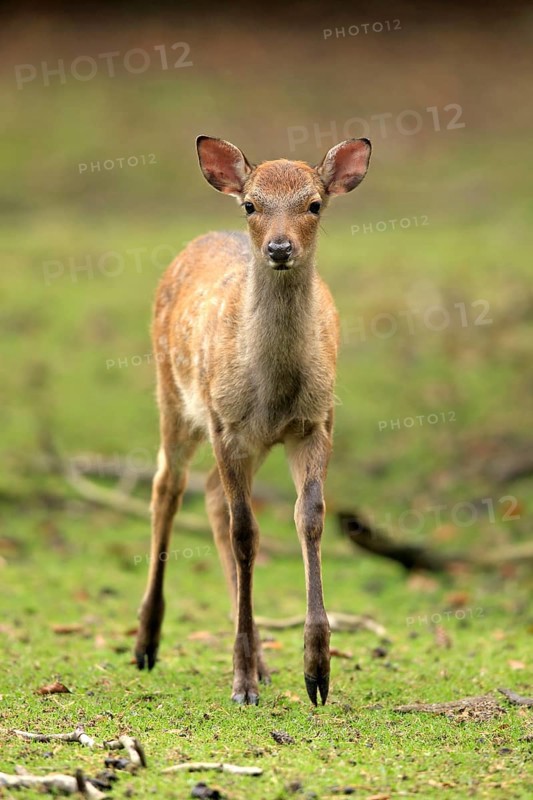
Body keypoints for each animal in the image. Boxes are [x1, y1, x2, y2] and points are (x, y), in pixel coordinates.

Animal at [134, 135, 372, 705]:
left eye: (314, 203)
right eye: (250, 204)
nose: (280, 249)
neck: (275, 390)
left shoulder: (316, 422)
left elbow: (310, 518)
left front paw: (317, 672)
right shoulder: (226, 423)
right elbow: (246, 533)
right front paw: (241, 682)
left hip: (256, 441)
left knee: (211, 497)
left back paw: (262, 661)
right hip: (173, 395)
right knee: (167, 487)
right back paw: (146, 643)